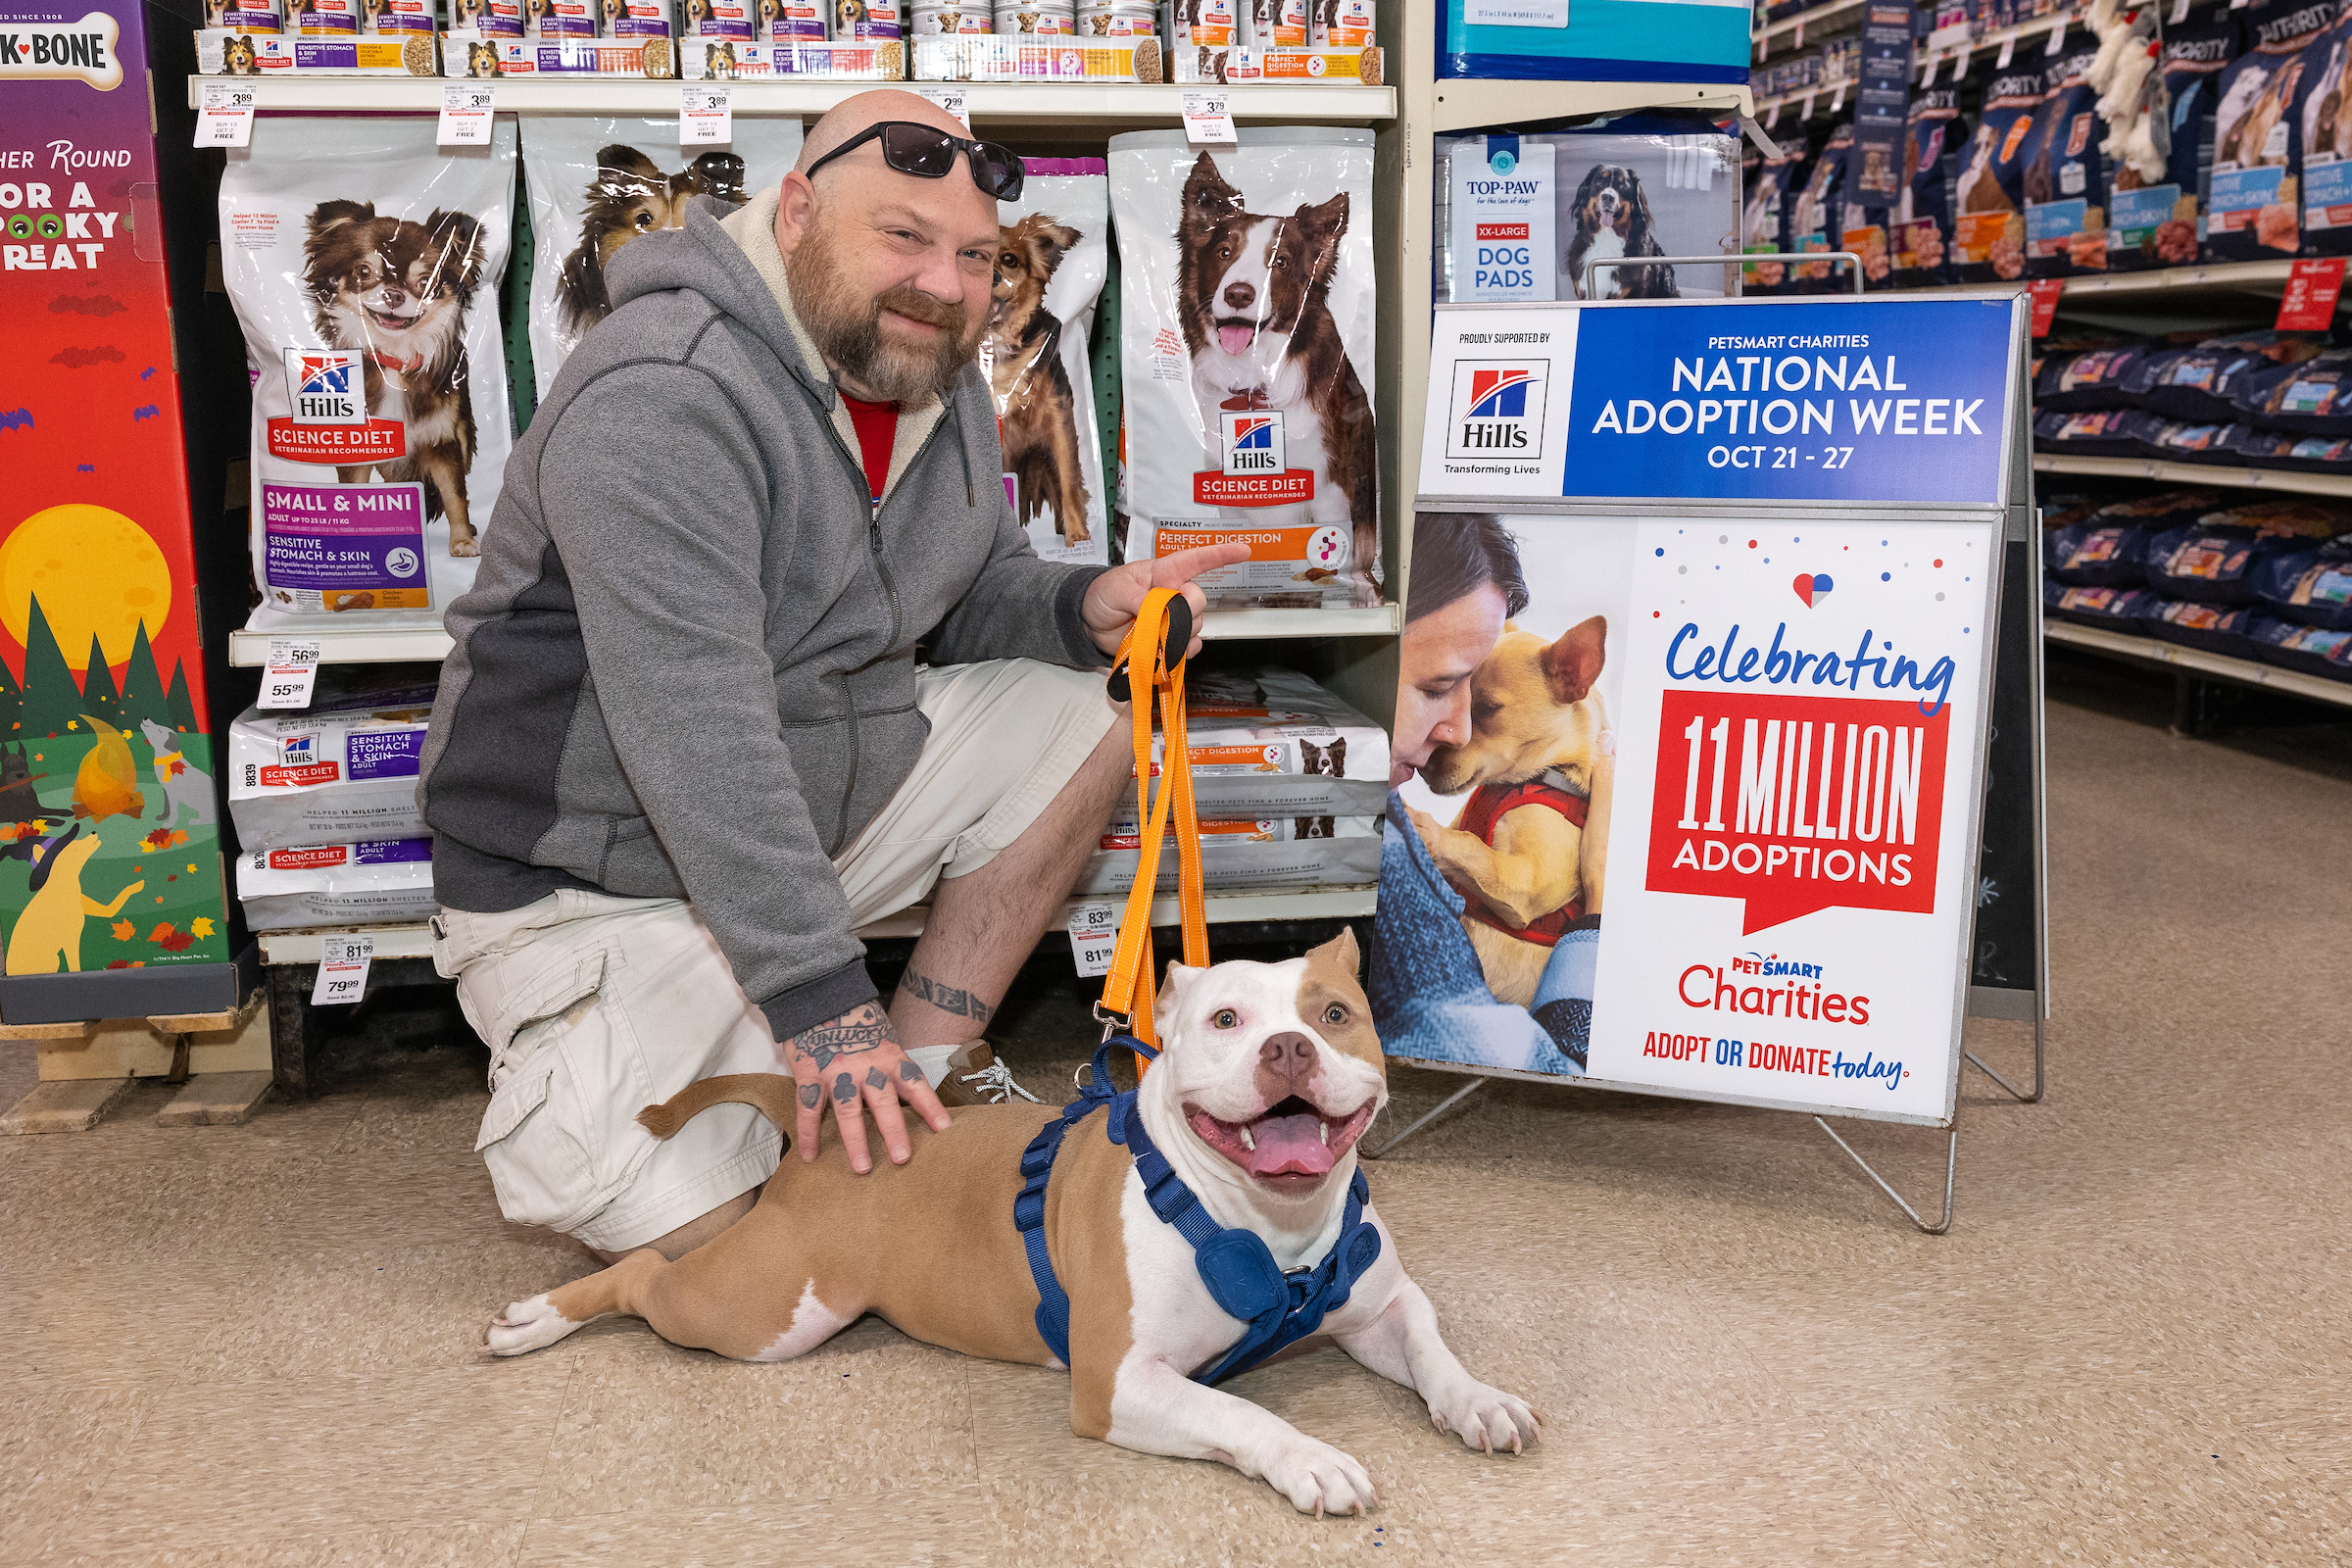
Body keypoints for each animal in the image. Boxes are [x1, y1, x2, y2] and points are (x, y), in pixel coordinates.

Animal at [486, 940, 1533, 1513]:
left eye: (1337, 1013)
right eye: (1228, 1020)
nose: (1288, 1048)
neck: (1271, 1229)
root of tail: (813, 1114)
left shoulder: (1381, 1307)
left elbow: (1432, 1346)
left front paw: (1477, 1401)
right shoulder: (1118, 1384)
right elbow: (1242, 1411)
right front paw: (1308, 1457)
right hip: (764, 1312)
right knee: (643, 1275)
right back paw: (537, 1317)